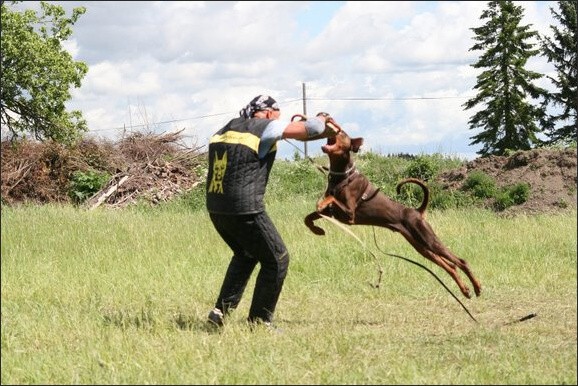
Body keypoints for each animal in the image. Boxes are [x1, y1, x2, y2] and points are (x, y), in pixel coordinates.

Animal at [304, 129, 480, 298]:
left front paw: (321, 203)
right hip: (421, 246)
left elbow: (330, 199)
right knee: (450, 266)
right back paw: (465, 290)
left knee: (461, 262)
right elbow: (309, 217)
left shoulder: (349, 214)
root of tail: (417, 212)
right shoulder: (333, 213)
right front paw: (317, 230)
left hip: (428, 239)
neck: (343, 175)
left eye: (341, 133)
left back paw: (477, 287)